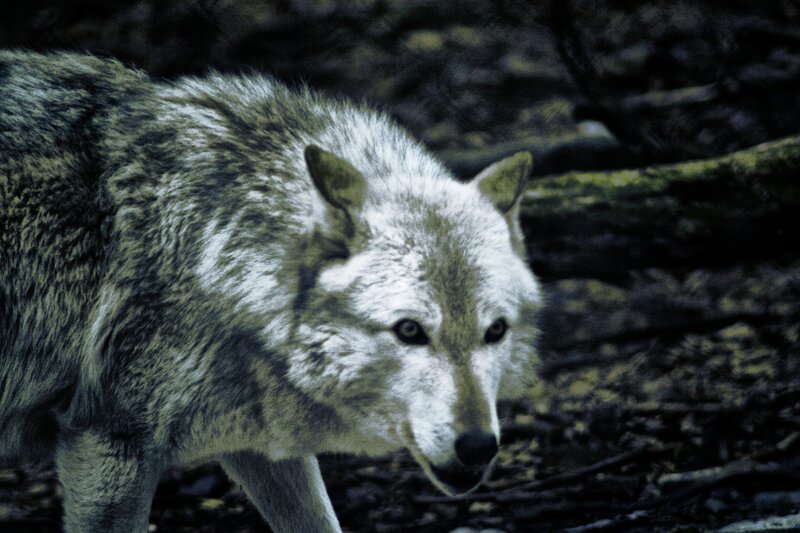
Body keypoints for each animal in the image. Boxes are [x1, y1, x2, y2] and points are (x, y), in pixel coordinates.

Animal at [0, 50, 541, 532]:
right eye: (409, 331)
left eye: (495, 332)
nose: (479, 446)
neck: (213, 252)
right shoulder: (108, 442)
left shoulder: (258, 444)